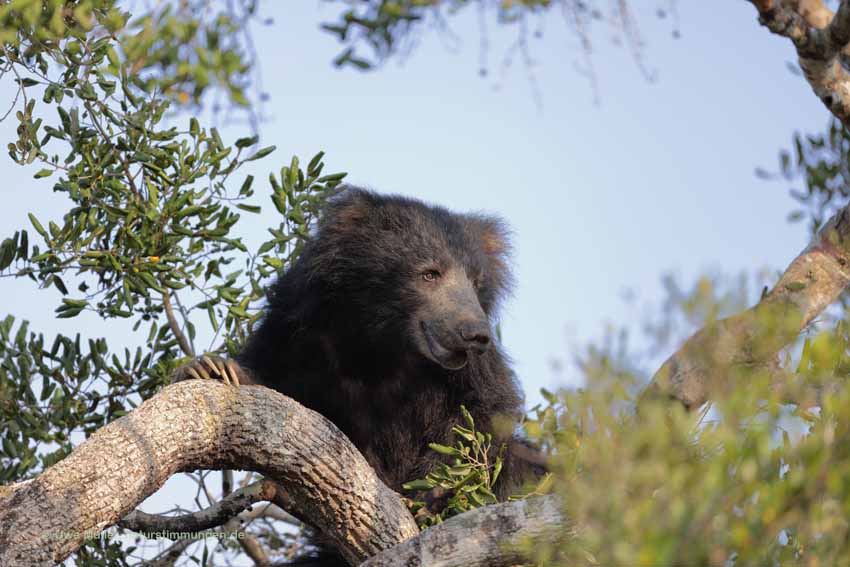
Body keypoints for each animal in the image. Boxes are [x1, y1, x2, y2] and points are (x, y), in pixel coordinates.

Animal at [178, 190, 540, 564]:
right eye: (430, 274)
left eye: (476, 283)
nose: (475, 335)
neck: (383, 340)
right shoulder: (301, 323)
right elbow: (277, 382)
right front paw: (212, 368)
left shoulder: (474, 374)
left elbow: (484, 410)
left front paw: (427, 497)